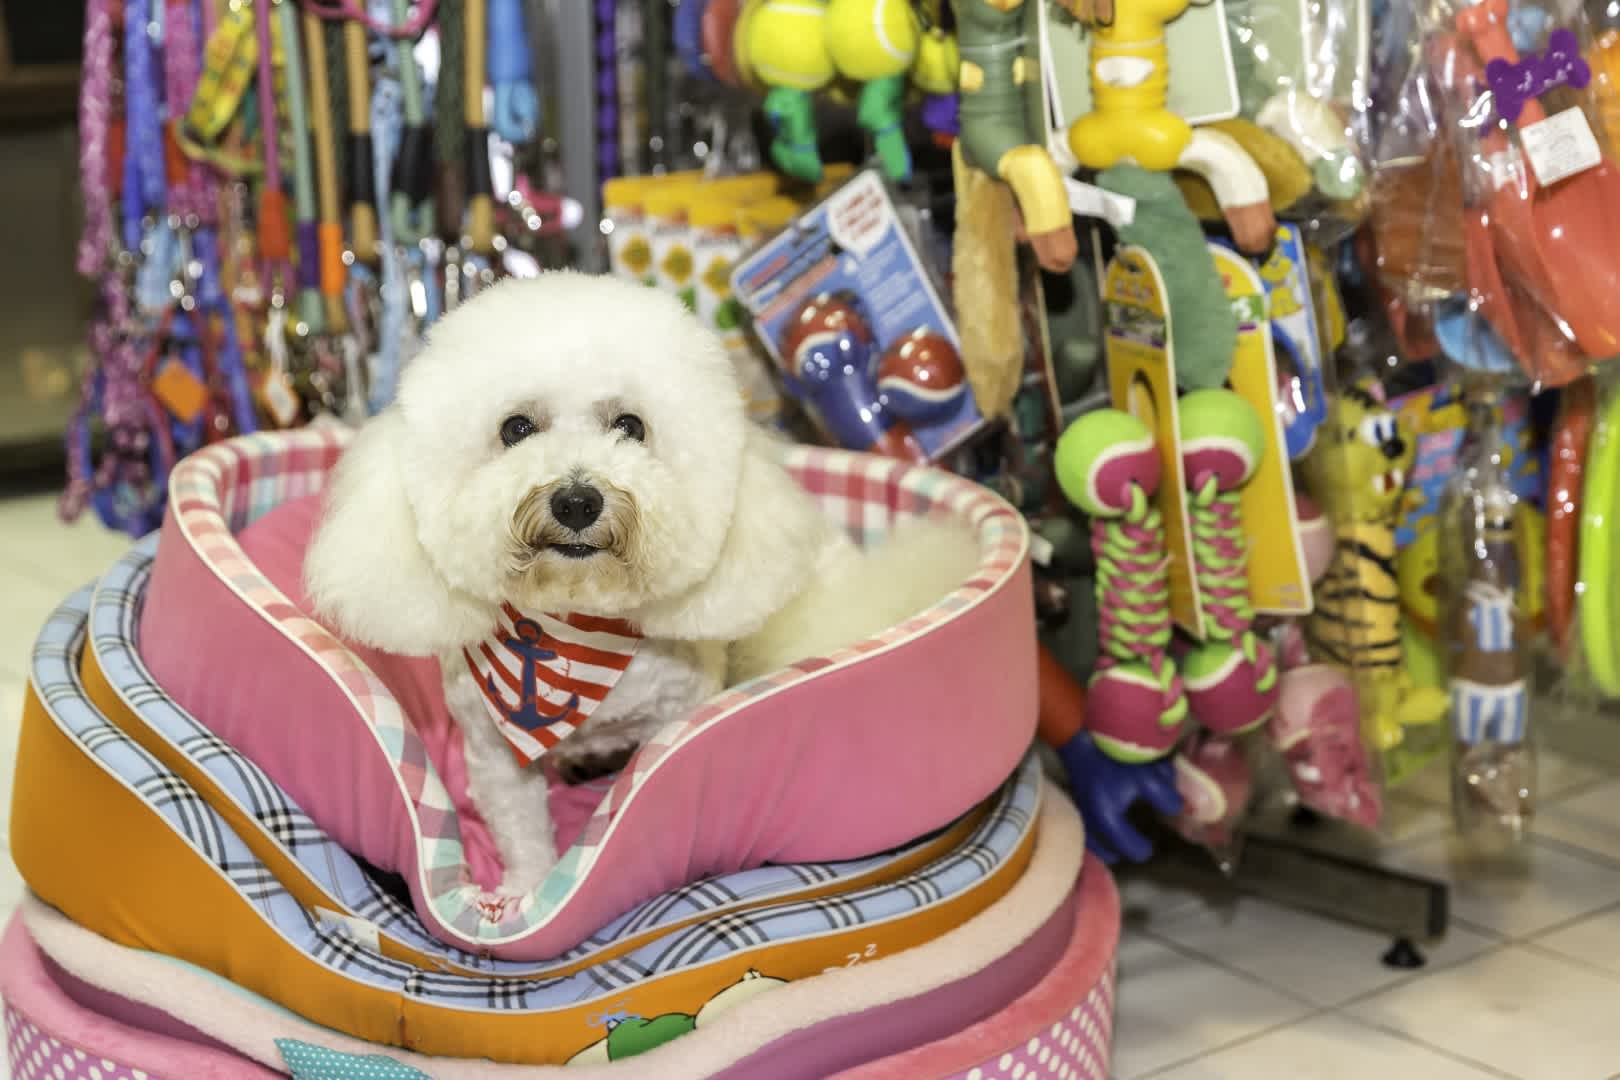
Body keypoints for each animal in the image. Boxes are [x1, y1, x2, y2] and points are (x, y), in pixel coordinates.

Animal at [304, 272, 972, 893]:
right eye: (516, 428)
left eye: (630, 425)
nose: (577, 500)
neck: (574, 627)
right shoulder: (495, 753)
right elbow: (522, 833)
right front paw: (529, 895)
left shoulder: (676, 717)